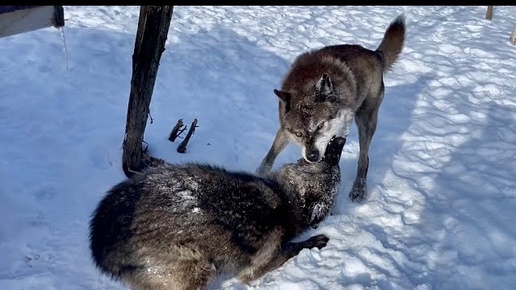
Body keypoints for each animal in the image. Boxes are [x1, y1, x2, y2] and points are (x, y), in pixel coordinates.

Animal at [89, 137, 346, 290]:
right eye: (335, 169)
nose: (340, 139)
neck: (283, 197)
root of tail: (99, 236)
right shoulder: (258, 265)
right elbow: (293, 248)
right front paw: (313, 241)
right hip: (198, 268)